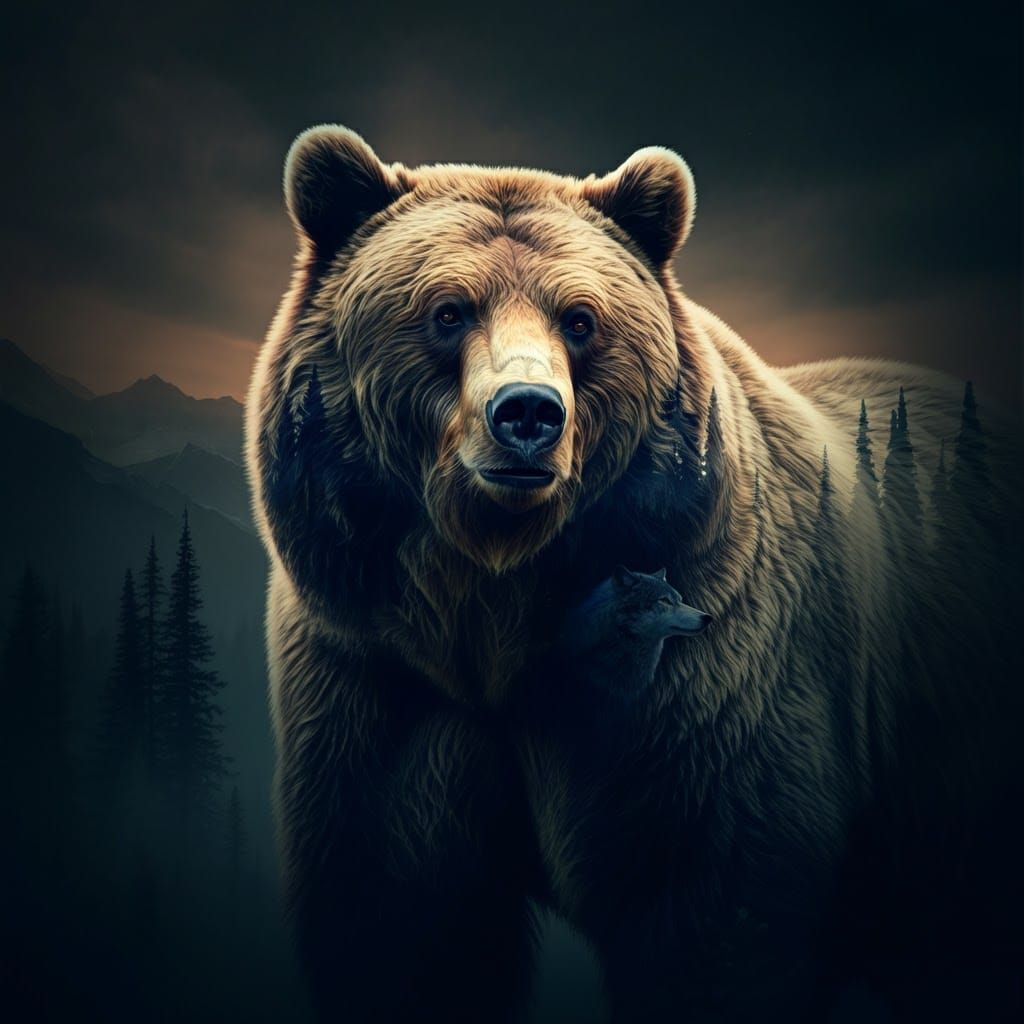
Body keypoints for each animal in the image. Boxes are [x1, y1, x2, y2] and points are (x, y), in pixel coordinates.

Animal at [245, 125, 1023, 1022]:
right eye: (448, 311)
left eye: (581, 319)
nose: (528, 413)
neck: (497, 613)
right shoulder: (377, 674)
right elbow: (401, 919)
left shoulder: (708, 684)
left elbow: (710, 912)